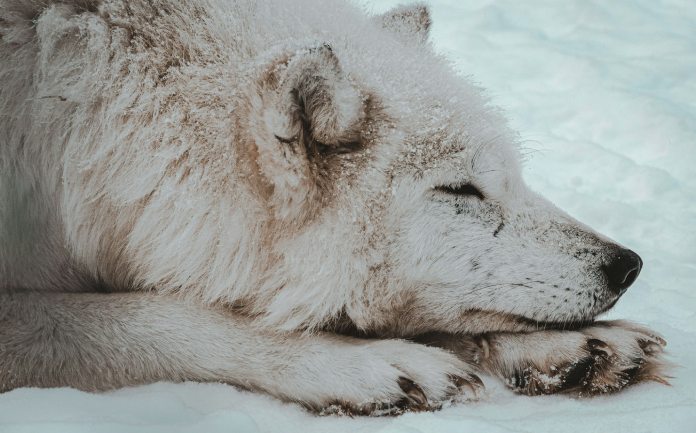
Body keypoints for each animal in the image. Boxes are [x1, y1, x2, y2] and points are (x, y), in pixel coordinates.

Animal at [1, 0, 668, 414]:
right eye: (461, 192)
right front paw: (358, 364)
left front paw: (573, 346)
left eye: (513, 177)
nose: (627, 264)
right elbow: (150, 318)